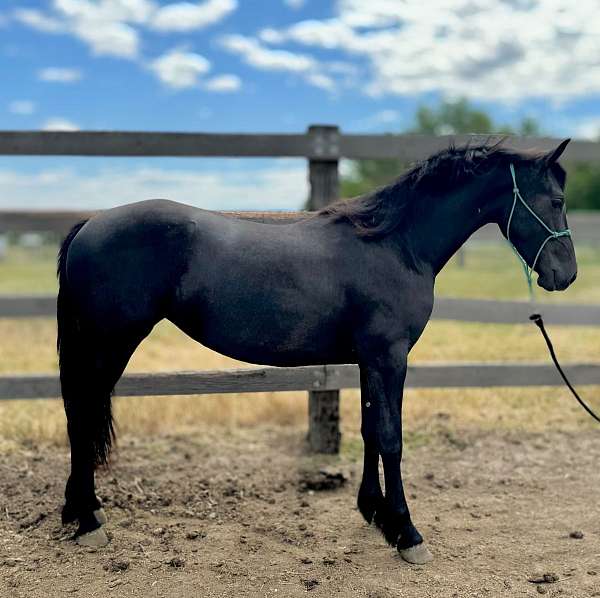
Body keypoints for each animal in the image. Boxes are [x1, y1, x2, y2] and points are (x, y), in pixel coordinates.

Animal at [57, 139, 576, 564]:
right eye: (556, 201)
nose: (565, 274)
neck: (394, 244)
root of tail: (89, 224)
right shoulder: (390, 357)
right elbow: (391, 438)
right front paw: (406, 533)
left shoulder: (370, 360)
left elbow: (369, 432)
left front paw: (374, 513)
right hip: (109, 345)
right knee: (82, 416)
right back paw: (88, 521)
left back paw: (81, 511)